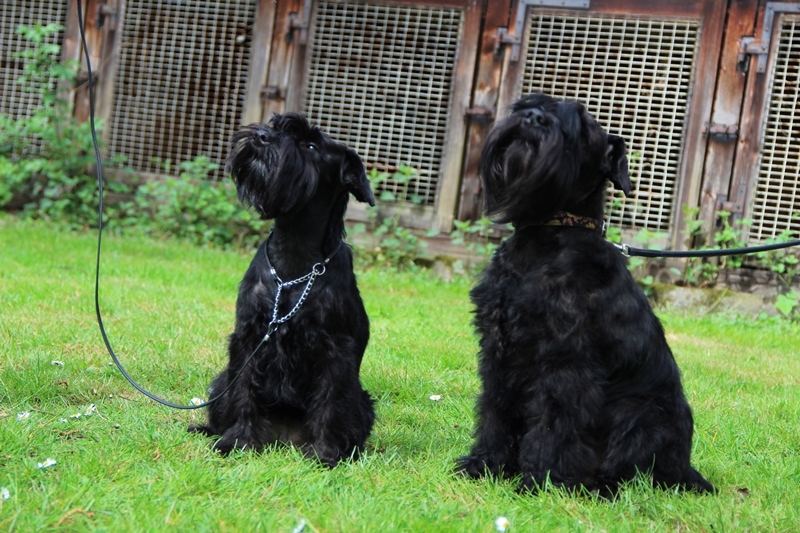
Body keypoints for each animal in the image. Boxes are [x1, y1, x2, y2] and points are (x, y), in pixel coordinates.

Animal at [188, 113, 376, 466]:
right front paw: (237, 441)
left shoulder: (335, 349)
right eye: (276, 126)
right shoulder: (249, 338)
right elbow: (244, 392)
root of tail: (284, 438)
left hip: (364, 402)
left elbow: (329, 399)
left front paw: (324, 452)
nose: (263, 136)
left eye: (312, 146)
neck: (295, 253)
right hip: (220, 383)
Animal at [456, 92, 712, 494]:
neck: (545, 239)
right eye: (532, 103)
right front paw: (486, 463)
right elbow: (495, 408)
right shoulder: (498, 350)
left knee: (632, 471)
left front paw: (540, 479)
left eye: (583, 127)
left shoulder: (566, 362)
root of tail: (686, 468)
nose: (533, 117)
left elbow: (555, 421)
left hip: (641, 414)